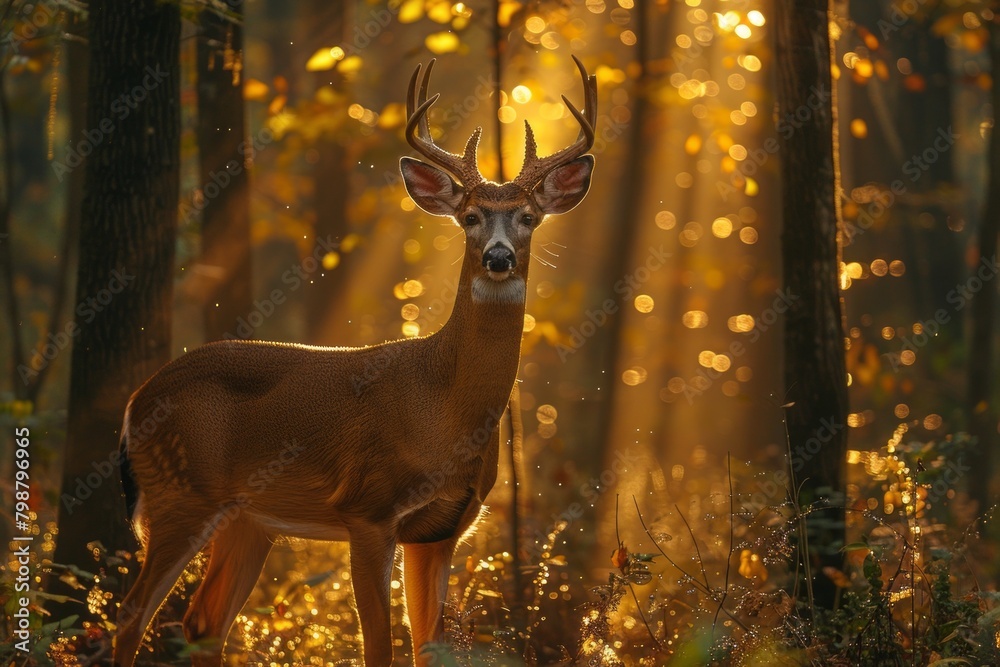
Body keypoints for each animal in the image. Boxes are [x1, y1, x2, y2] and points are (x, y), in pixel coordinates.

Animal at [112, 56, 596, 667]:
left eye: (529, 217)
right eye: (469, 217)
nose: (499, 257)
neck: (443, 409)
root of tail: (136, 399)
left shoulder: (442, 529)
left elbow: (429, 647)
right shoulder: (367, 509)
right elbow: (379, 648)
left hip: (246, 519)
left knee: (204, 625)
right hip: (179, 493)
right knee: (131, 617)